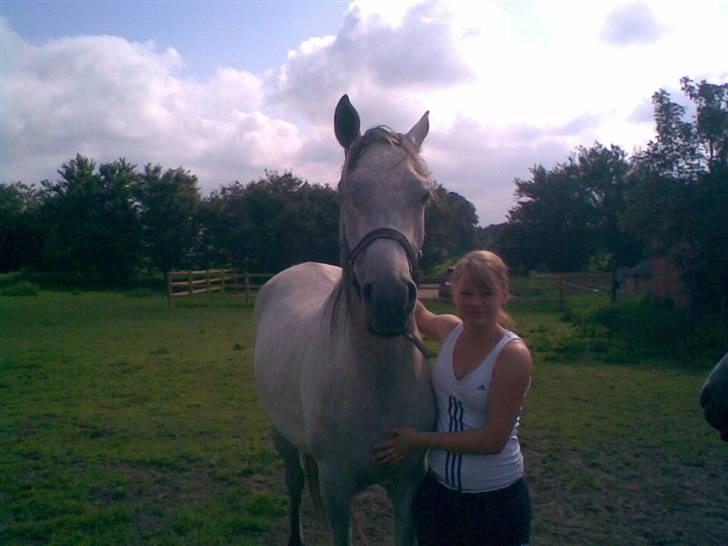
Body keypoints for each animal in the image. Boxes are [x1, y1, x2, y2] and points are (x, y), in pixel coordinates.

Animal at [255, 95, 436, 540]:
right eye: (345, 192)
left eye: (423, 196)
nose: (389, 299)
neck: (378, 380)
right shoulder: (336, 491)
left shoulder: (409, 484)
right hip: (281, 435)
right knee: (295, 483)